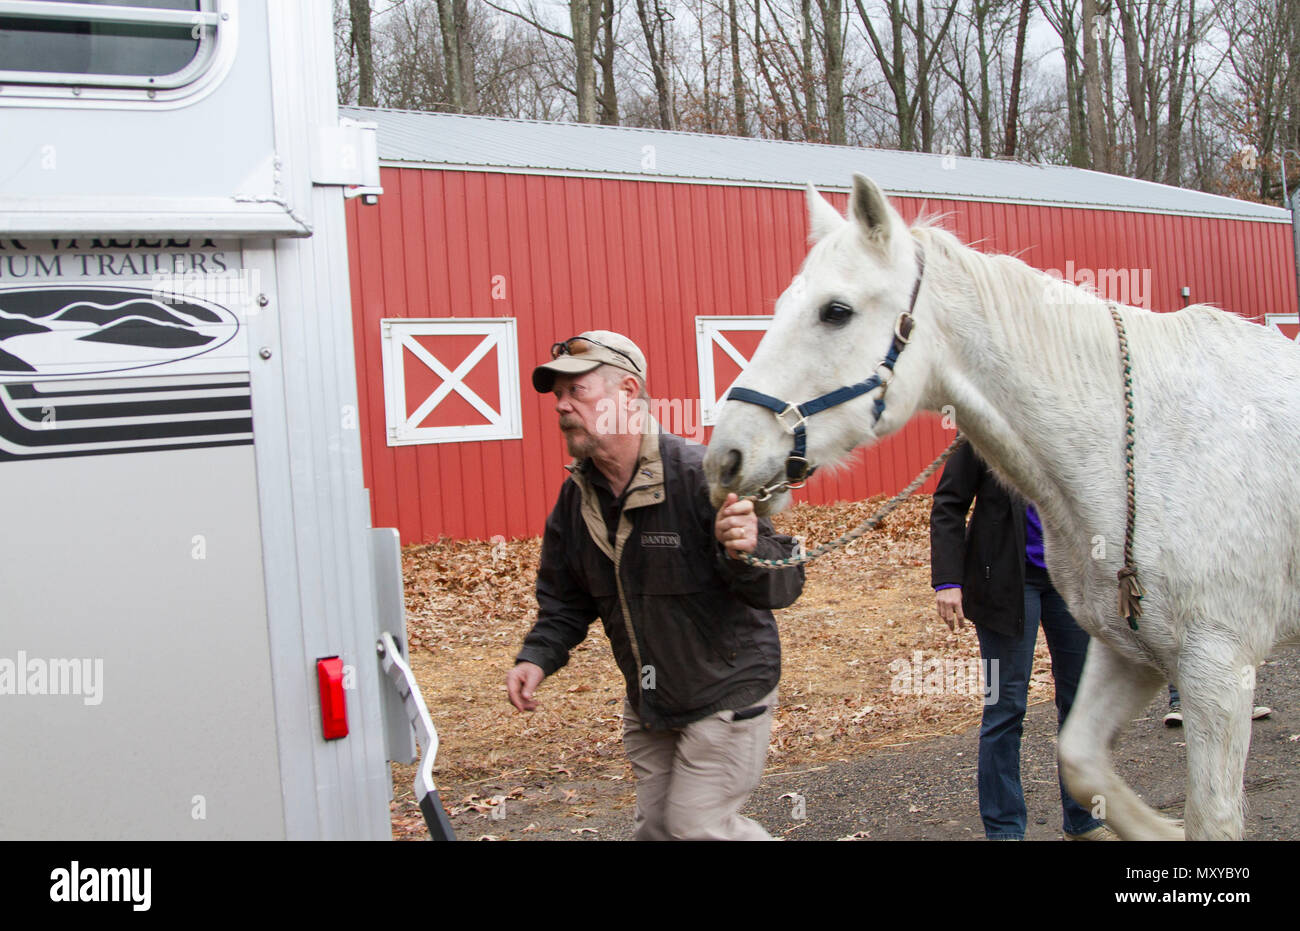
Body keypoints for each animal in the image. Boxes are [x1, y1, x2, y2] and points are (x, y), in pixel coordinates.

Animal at [703, 173, 1300, 840]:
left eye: (836, 311)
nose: (725, 458)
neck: (1139, 448)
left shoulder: (1217, 666)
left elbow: (1212, 818)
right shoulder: (1129, 651)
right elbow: (1081, 761)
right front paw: (1159, 829)